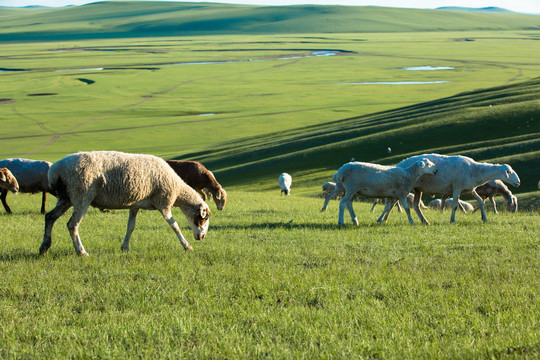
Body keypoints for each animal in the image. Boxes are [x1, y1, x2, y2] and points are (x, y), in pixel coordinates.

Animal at [39, 151, 211, 256]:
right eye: (204, 218)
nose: (202, 237)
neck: (177, 188)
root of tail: (56, 169)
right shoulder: (163, 203)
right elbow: (174, 226)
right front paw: (187, 246)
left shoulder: (134, 205)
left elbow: (131, 226)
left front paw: (125, 247)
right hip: (81, 195)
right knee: (72, 225)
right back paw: (81, 252)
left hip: (66, 198)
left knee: (50, 217)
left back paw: (44, 247)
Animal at [378, 153, 520, 224]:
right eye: (508, 171)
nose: (518, 182)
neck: (475, 170)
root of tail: (399, 164)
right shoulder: (457, 188)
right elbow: (456, 205)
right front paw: (452, 220)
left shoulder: (469, 189)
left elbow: (480, 201)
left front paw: (484, 218)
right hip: (404, 186)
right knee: (392, 203)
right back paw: (383, 219)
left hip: (418, 189)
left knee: (415, 205)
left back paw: (424, 221)